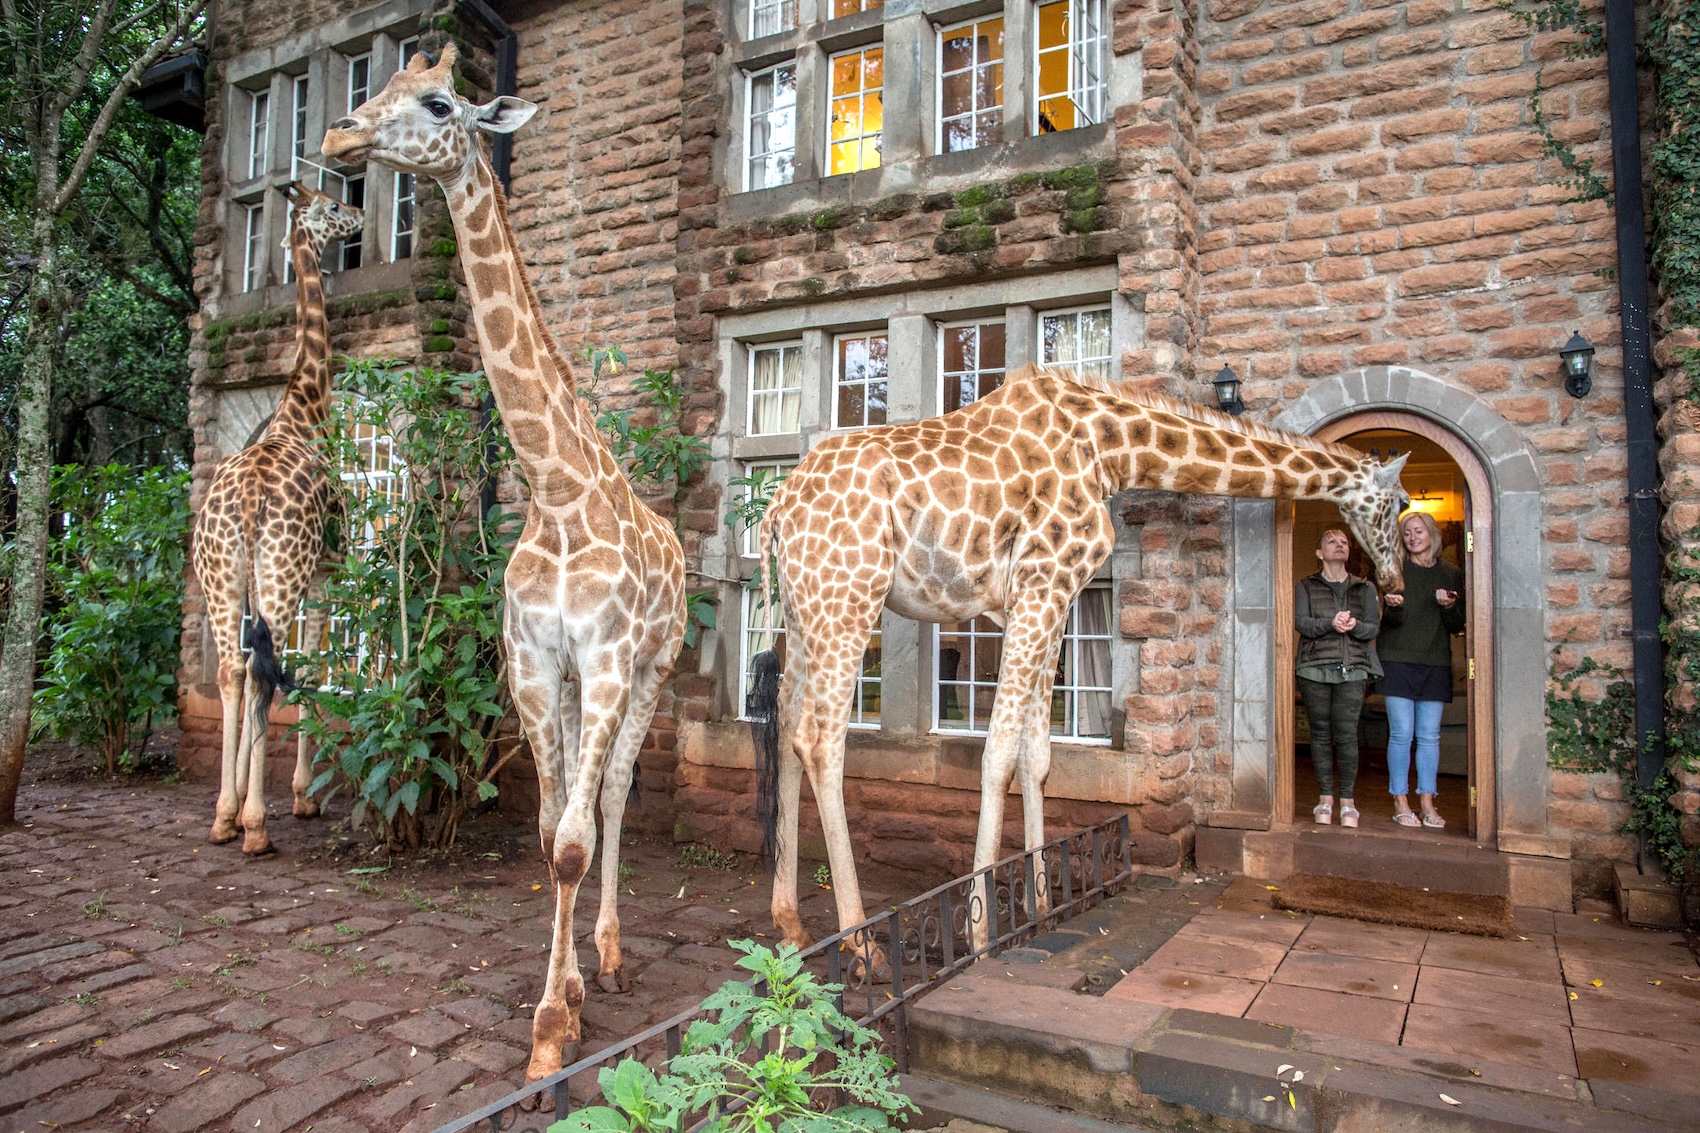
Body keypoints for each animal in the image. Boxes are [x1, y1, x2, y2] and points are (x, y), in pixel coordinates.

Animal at [194, 182, 363, 856]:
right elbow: (311, 664)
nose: (361, 217)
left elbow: (258, 670)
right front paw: (299, 797)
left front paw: (248, 798)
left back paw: (224, 816)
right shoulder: (325, 574)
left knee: (233, 670)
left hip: (221, 576)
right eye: (333, 208)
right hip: (280, 572)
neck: (304, 405)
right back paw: (257, 826)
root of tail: (245, 499)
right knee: (263, 673)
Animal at [322, 44, 687, 1082]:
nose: (338, 137)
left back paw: (611, 952)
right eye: (378, 88)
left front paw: (552, 1026)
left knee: (613, 798)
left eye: (440, 102)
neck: (555, 489)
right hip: (570, 683)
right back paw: (588, 963)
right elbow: (544, 828)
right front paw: (557, 999)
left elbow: (572, 838)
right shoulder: (532, 665)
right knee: (583, 800)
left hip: (653, 669)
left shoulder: (606, 660)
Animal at [751, 363, 1410, 953]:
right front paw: (981, 933)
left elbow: (1037, 756)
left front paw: (1042, 907)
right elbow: (997, 756)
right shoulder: (1043, 582)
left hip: (807, 612)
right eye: (1397, 503)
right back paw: (863, 946)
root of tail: (776, 512)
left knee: (784, 722)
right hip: (850, 598)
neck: (1110, 449)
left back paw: (790, 925)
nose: (1395, 581)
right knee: (821, 741)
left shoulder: (1052, 596)